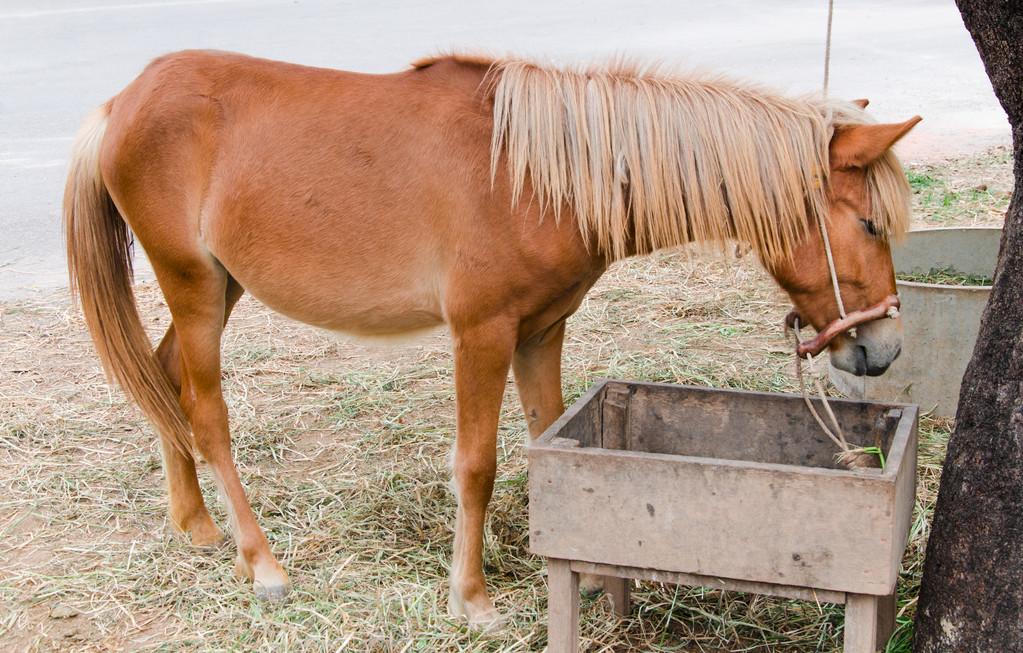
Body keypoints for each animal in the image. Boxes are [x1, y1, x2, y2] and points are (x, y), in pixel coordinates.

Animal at [61, 51, 920, 630]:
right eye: (868, 223)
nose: (881, 348)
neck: (539, 174)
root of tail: (124, 99)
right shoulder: (482, 334)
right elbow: (475, 467)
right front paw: (469, 597)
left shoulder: (541, 331)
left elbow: (550, 436)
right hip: (195, 288)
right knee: (205, 412)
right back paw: (261, 560)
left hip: (219, 286)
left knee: (164, 381)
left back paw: (196, 524)